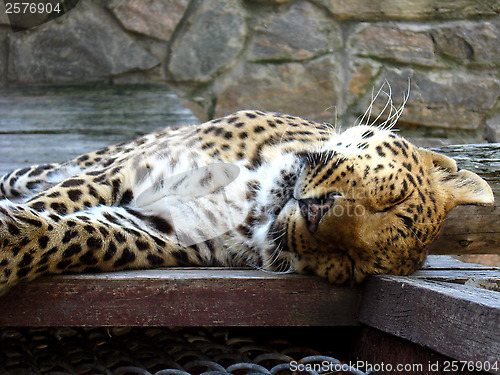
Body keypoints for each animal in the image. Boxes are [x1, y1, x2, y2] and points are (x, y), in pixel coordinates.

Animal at [0, 102, 492, 294]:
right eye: (395, 198)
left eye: (350, 264)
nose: (317, 214)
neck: (251, 195)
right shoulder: (127, 172)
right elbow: (52, 203)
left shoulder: (161, 231)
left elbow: (65, 235)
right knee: (42, 175)